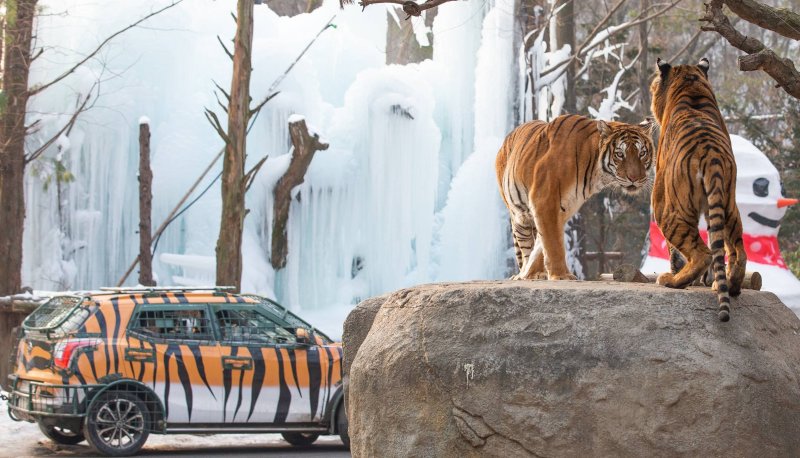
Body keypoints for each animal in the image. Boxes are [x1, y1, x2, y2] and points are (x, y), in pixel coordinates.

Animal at [494, 113, 656, 282]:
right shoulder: (545, 201)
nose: (635, 178)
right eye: (620, 154)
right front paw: (560, 275)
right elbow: (553, 244)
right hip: (520, 216)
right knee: (525, 245)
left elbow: (542, 244)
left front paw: (538, 272)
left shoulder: (562, 208)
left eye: (642, 153)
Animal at [648, 58, 748, 322]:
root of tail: (711, 154)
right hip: (730, 206)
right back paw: (731, 286)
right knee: (738, 250)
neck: (691, 86)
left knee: (702, 253)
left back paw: (672, 281)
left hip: (668, 212)